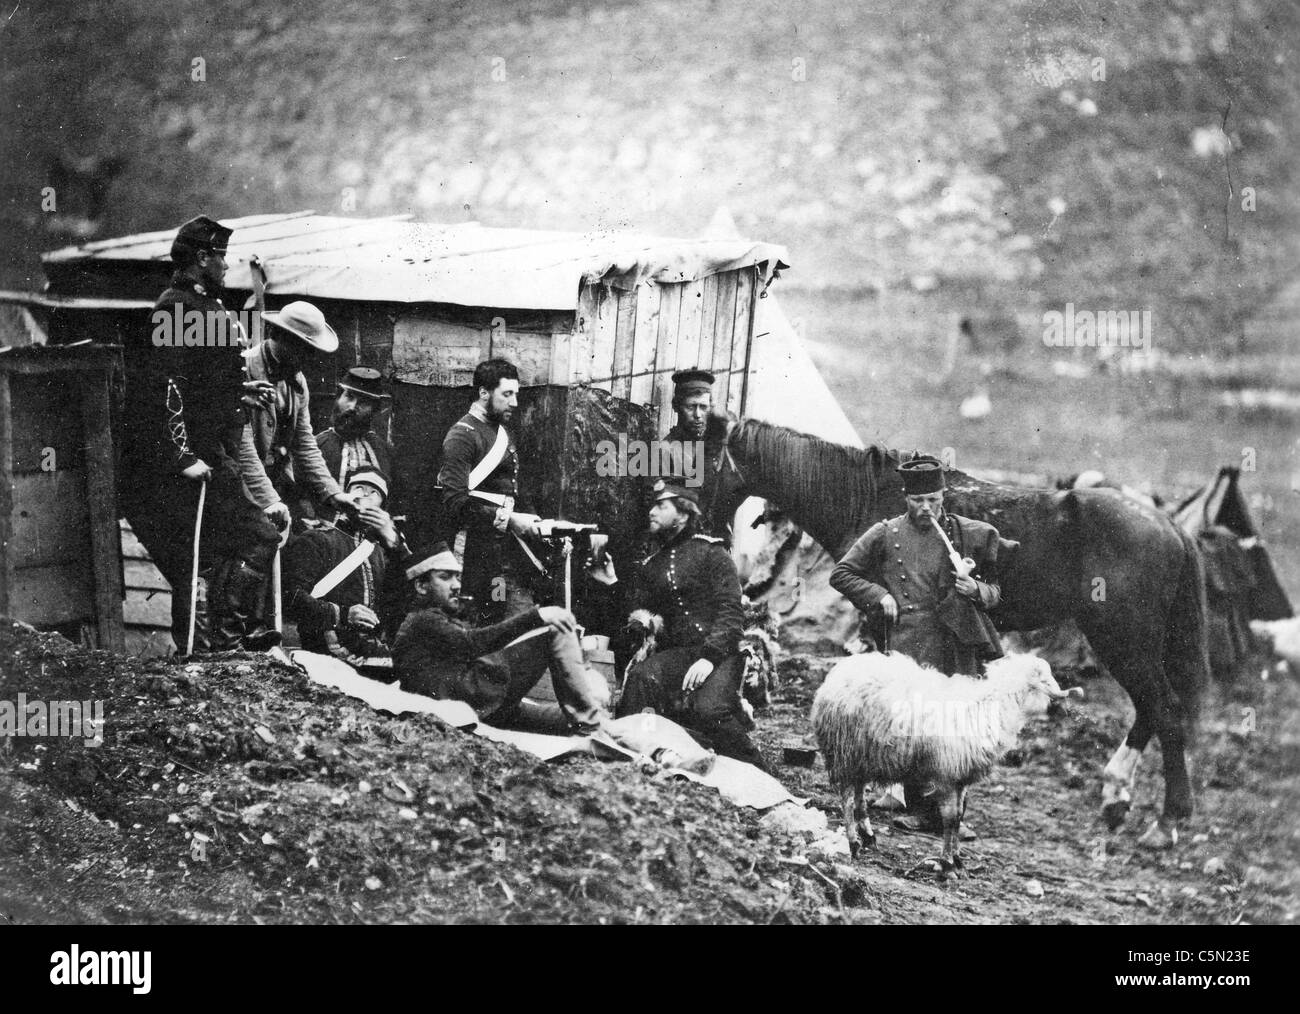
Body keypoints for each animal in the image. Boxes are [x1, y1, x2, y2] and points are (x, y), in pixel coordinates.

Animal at [717, 416, 1211, 842]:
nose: (751, 578)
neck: (868, 495)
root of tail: (1170, 527)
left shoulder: (879, 617)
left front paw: (892, 793)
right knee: (1151, 709)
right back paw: (1115, 798)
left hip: (1124, 640)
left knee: (1164, 709)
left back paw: (1166, 824)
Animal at [811, 650, 1076, 873]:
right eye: (1045, 680)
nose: (1066, 708)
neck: (990, 709)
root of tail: (838, 673)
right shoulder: (946, 776)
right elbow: (948, 817)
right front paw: (947, 862)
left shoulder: (961, 779)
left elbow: (958, 817)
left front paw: (957, 859)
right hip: (845, 753)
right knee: (847, 798)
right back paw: (853, 842)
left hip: (862, 756)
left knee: (859, 795)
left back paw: (868, 835)